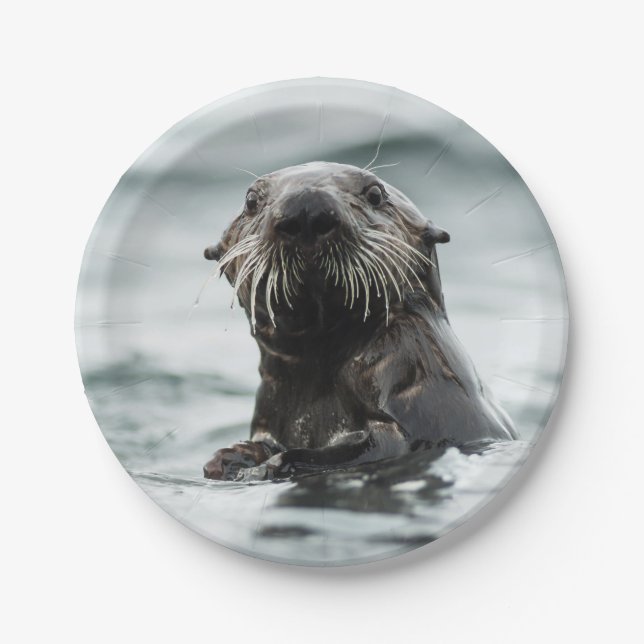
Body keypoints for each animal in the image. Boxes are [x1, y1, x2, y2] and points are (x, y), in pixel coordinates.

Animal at [202, 162, 515, 481]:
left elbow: (380, 445)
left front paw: (270, 465)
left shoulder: (413, 373)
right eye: (251, 201)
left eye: (375, 194)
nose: (305, 209)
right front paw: (230, 458)